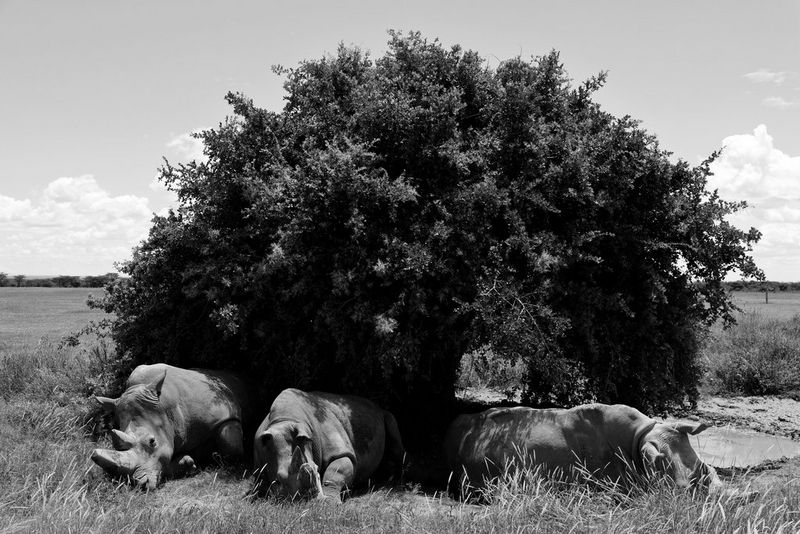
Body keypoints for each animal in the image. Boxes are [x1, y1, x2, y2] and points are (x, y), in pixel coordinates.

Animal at [91, 363, 253, 490]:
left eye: (152, 441)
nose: (138, 484)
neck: (165, 408)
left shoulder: (226, 416)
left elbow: (233, 450)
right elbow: (165, 460)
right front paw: (187, 464)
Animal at [251, 388, 405, 502]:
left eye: (317, 471)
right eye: (278, 481)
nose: (304, 501)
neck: (286, 419)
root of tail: (375, 405)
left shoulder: (340, 450)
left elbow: (335, 474)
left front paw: (330, 501)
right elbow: (260, 482)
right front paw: (256, 497)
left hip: (385, 415)